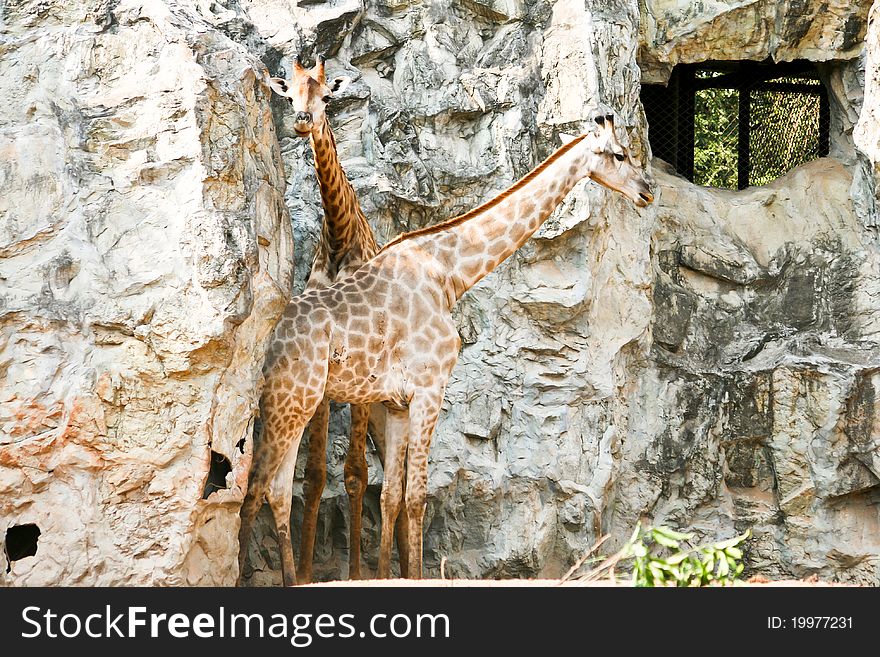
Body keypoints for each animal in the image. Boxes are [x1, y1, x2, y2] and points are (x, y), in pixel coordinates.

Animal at [239, 115, 652, 580]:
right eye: (620, 155)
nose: (647, 191)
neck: (449, 272)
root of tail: (265, 339)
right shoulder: (429, 389)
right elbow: (416, 496)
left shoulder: (398, 403)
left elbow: (392, 495)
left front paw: (387, 576)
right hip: (288, 401)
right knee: (255, 488)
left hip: (299, 404)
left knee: (277, 489)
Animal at [244, 57, 410, 584]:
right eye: (290, 93)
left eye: (326, 96)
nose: (302, 121)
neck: (338, 241)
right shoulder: (321, 373)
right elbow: (316, 475)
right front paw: (308, 570)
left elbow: (355, 473)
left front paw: (355, 572)